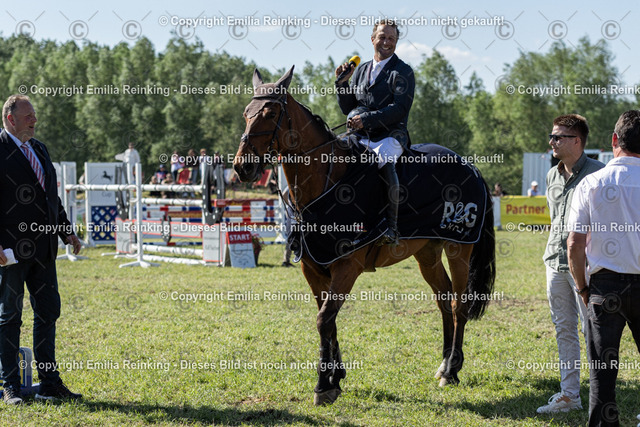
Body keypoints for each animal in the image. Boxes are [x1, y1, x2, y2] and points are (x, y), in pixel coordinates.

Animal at [233, 66, 496, 406]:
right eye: (246, 113)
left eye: (271, 112)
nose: (242, 167)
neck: (326, 180)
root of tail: (471, 168)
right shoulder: (312, 267)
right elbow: (327, 319)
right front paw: (336, 378)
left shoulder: (348, 266)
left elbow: (324, 319)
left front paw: (323, 385)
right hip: (427, 253)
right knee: (443, 299)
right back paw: (443, 364)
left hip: (458, 249)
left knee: (458, 305)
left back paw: (451, 371)